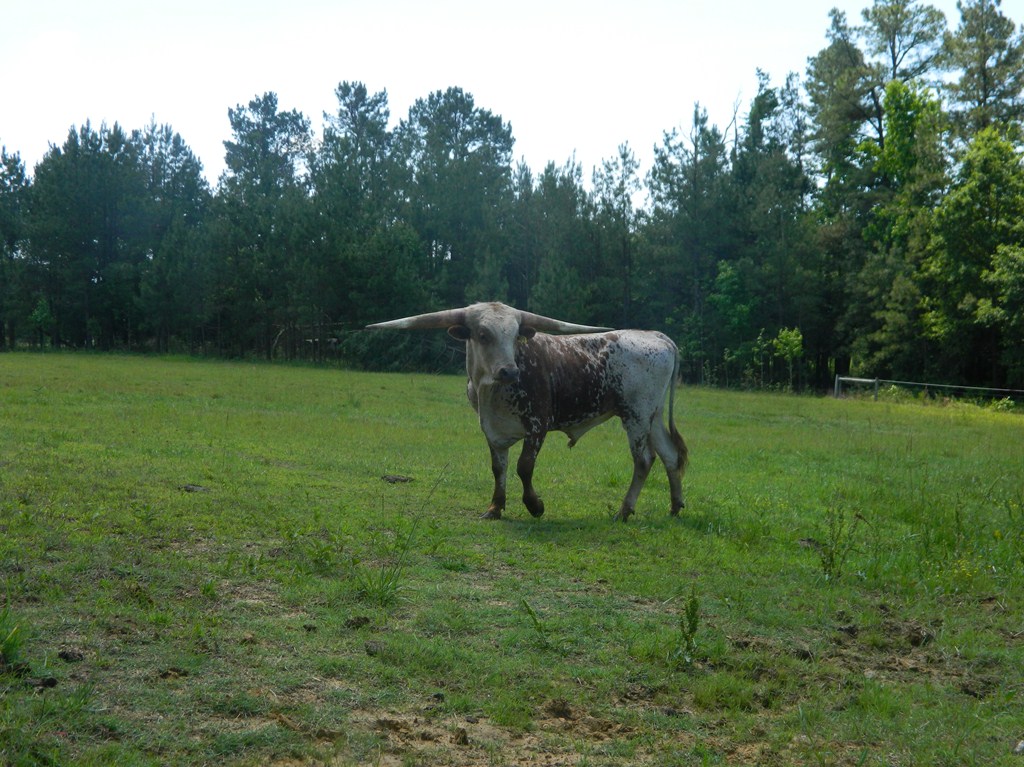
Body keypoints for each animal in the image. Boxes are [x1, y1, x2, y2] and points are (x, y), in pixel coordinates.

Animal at [366, 302, 688, 521]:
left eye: (515, 336)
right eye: (482, 334)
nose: (509, 370)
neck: (491, 390)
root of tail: (657, 336)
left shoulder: (537, 425)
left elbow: (524, 466)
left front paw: (535, 506)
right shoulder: (490, 430)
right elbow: (498, 468)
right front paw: (495, 507)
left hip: (636, 414)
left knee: (643, 460)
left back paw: (623, 511)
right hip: (652, 416)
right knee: (670, 456)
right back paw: (674, 507)